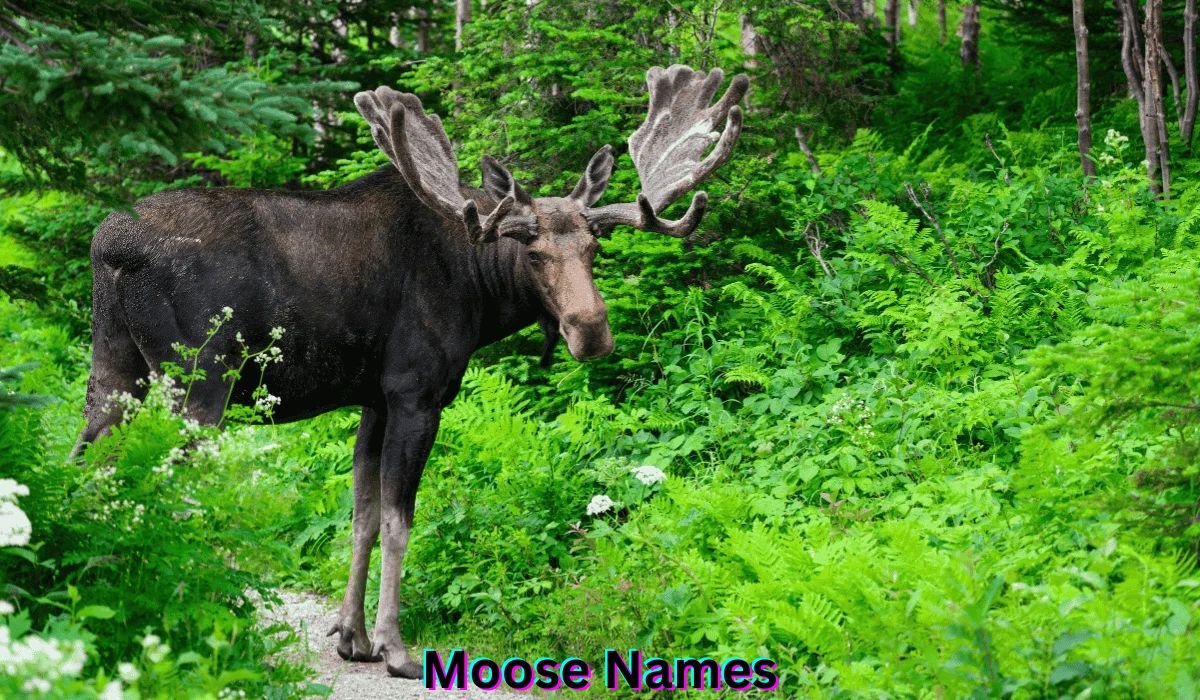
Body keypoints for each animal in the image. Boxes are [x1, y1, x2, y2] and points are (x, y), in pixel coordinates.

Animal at [76, 64, 748, 678]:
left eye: (593, 248)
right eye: (531, 252)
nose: (591, 330)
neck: (478, 292)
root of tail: (112, 247)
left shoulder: (374, 398)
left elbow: (362, 515)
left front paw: (351, 636)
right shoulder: (416, 392)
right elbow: (400, 521)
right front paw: (393, 646)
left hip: (113, 369)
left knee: (88, 461)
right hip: (196, 381)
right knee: (164, 482)